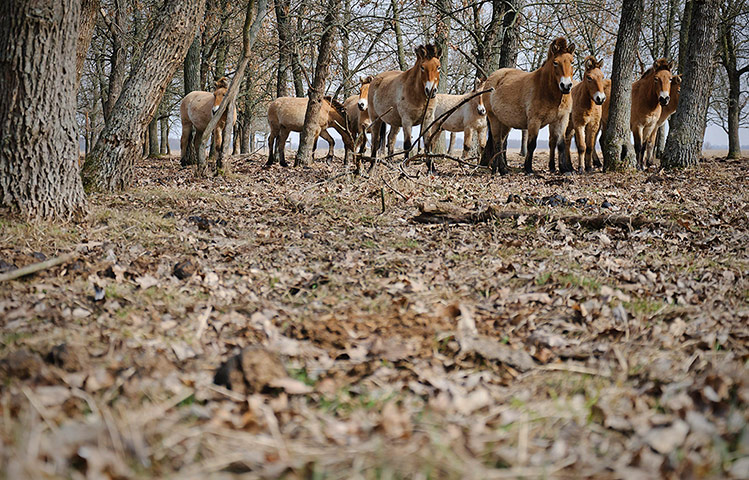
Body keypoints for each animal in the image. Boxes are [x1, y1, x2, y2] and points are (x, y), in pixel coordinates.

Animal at [364, 44, 442, 174]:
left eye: (438, 67)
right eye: (422, 67)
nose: (431, 91)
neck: (417, 94)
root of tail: (376, 79)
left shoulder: (428, 119)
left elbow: (427, 143)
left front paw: (431, 168)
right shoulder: (407, 120)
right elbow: (407, 144)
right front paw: (405, 166)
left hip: (394, 122)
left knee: (390, 139)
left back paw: (390, 163)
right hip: (376, 118)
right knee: (375, 141)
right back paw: (371, 166)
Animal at [481, 37, 576, 175]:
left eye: (572, 62)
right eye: (555, 63)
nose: (566, 86)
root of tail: (492, 78)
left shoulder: (561, 120)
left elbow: (561, 144)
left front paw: (564, 170)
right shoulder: (534, 121)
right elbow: (531, 144)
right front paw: (529, 169)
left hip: (505, 122)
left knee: (500, 142)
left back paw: (496, 169)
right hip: (494, 118)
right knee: (497, 142)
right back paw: (502, 169)